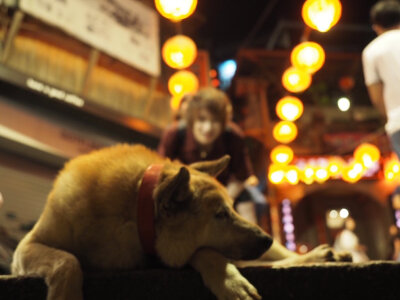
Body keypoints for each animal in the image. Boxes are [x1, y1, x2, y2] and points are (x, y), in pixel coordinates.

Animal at [10, 144, 350, 298]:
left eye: (232, 209)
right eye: (220, 215)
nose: (266, 238)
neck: (132, 209)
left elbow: (206, 253)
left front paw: (228, 281)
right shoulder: (26, 249)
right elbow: (67, 261)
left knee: (279, 258)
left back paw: (321, 255)